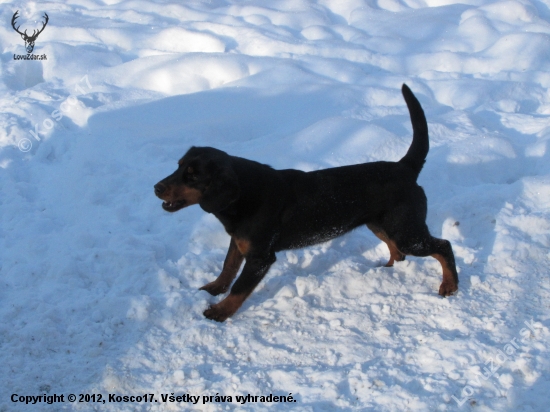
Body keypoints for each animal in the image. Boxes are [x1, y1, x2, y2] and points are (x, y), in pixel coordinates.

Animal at [155, 84, 462, 322]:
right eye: (178, 166)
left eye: (193, 176)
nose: (157, 187)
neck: (242, 196)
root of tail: (405, 167)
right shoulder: (239, 242)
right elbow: (227, 268)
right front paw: (213, 288)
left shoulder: (261, 257)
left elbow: (239, 288)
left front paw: (219, 312)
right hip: (382, 224)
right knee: (398, 252)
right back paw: (386, 271)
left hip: (407, 230)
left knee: (443, 246)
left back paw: (449, 285)